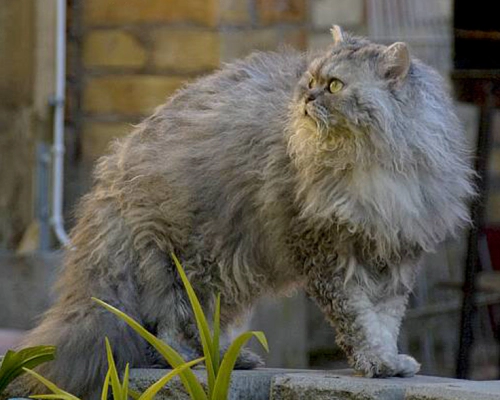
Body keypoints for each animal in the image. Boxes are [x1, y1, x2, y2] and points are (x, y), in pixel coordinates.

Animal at [14, 27, 472, 396]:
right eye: (311, 81)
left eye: (335, 86)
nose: (306, 97)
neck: (371, 163)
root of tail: (114, 168)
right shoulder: (328, 252)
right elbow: (359, 320)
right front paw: (375, 363)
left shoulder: (393, 252)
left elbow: (385, 321)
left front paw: (390, 362)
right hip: (187, 261)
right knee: (168, 330)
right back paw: (195, 361)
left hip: (226, 268)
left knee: (187, 327)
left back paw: (230, 358)